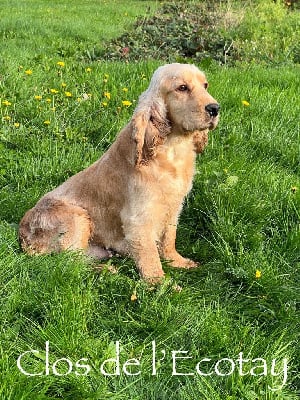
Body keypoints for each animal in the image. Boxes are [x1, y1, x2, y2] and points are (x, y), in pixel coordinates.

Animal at [19, 63, 220, 282]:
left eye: (205, 85)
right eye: (182, 88)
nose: (215, 109)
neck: (173, 148)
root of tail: (23, 235)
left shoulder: (174, 207)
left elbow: (169, 238)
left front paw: (178, 262)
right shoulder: (138, 218)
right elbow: (150, 256)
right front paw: (161, 283)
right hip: (76, 217)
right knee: (68, 262)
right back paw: (106, 271)